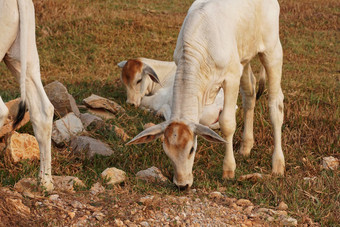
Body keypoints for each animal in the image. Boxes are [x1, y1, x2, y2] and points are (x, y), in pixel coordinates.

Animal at [127, 0, 284, 190]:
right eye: (166, 152)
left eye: (191, 149)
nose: (182, 185)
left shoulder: (231, 78)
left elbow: (227, 123)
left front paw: (228, 169)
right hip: (244, 59)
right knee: (250, 95)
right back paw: (246, 147)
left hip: (272, 51)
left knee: (275, 105)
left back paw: (278, 164)